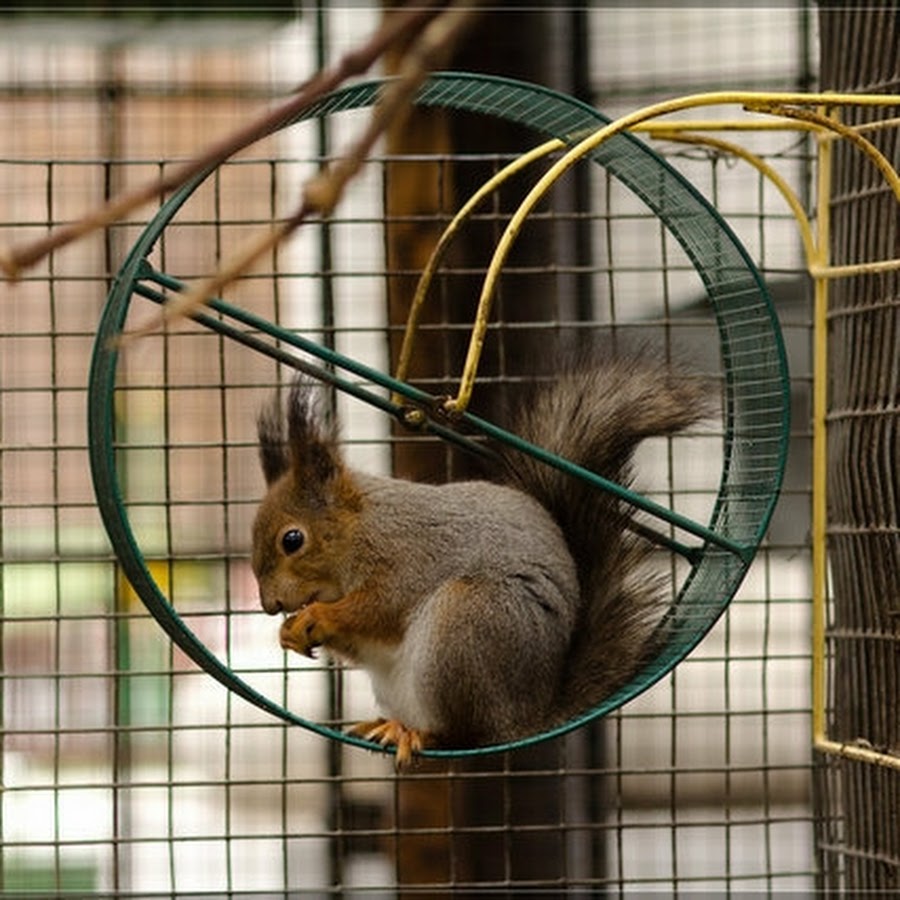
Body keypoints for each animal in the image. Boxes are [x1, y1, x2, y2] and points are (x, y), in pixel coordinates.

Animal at [251, 356, 712, 768]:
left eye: (292, 540)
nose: (270, 605)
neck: (361, 528)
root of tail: (527, 718)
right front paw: (289, 632)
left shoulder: (409, 558)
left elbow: (379, 607)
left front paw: (319, 617)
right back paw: (389, 725)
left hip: (468, 621)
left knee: (463, 733)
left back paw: (418, 733)